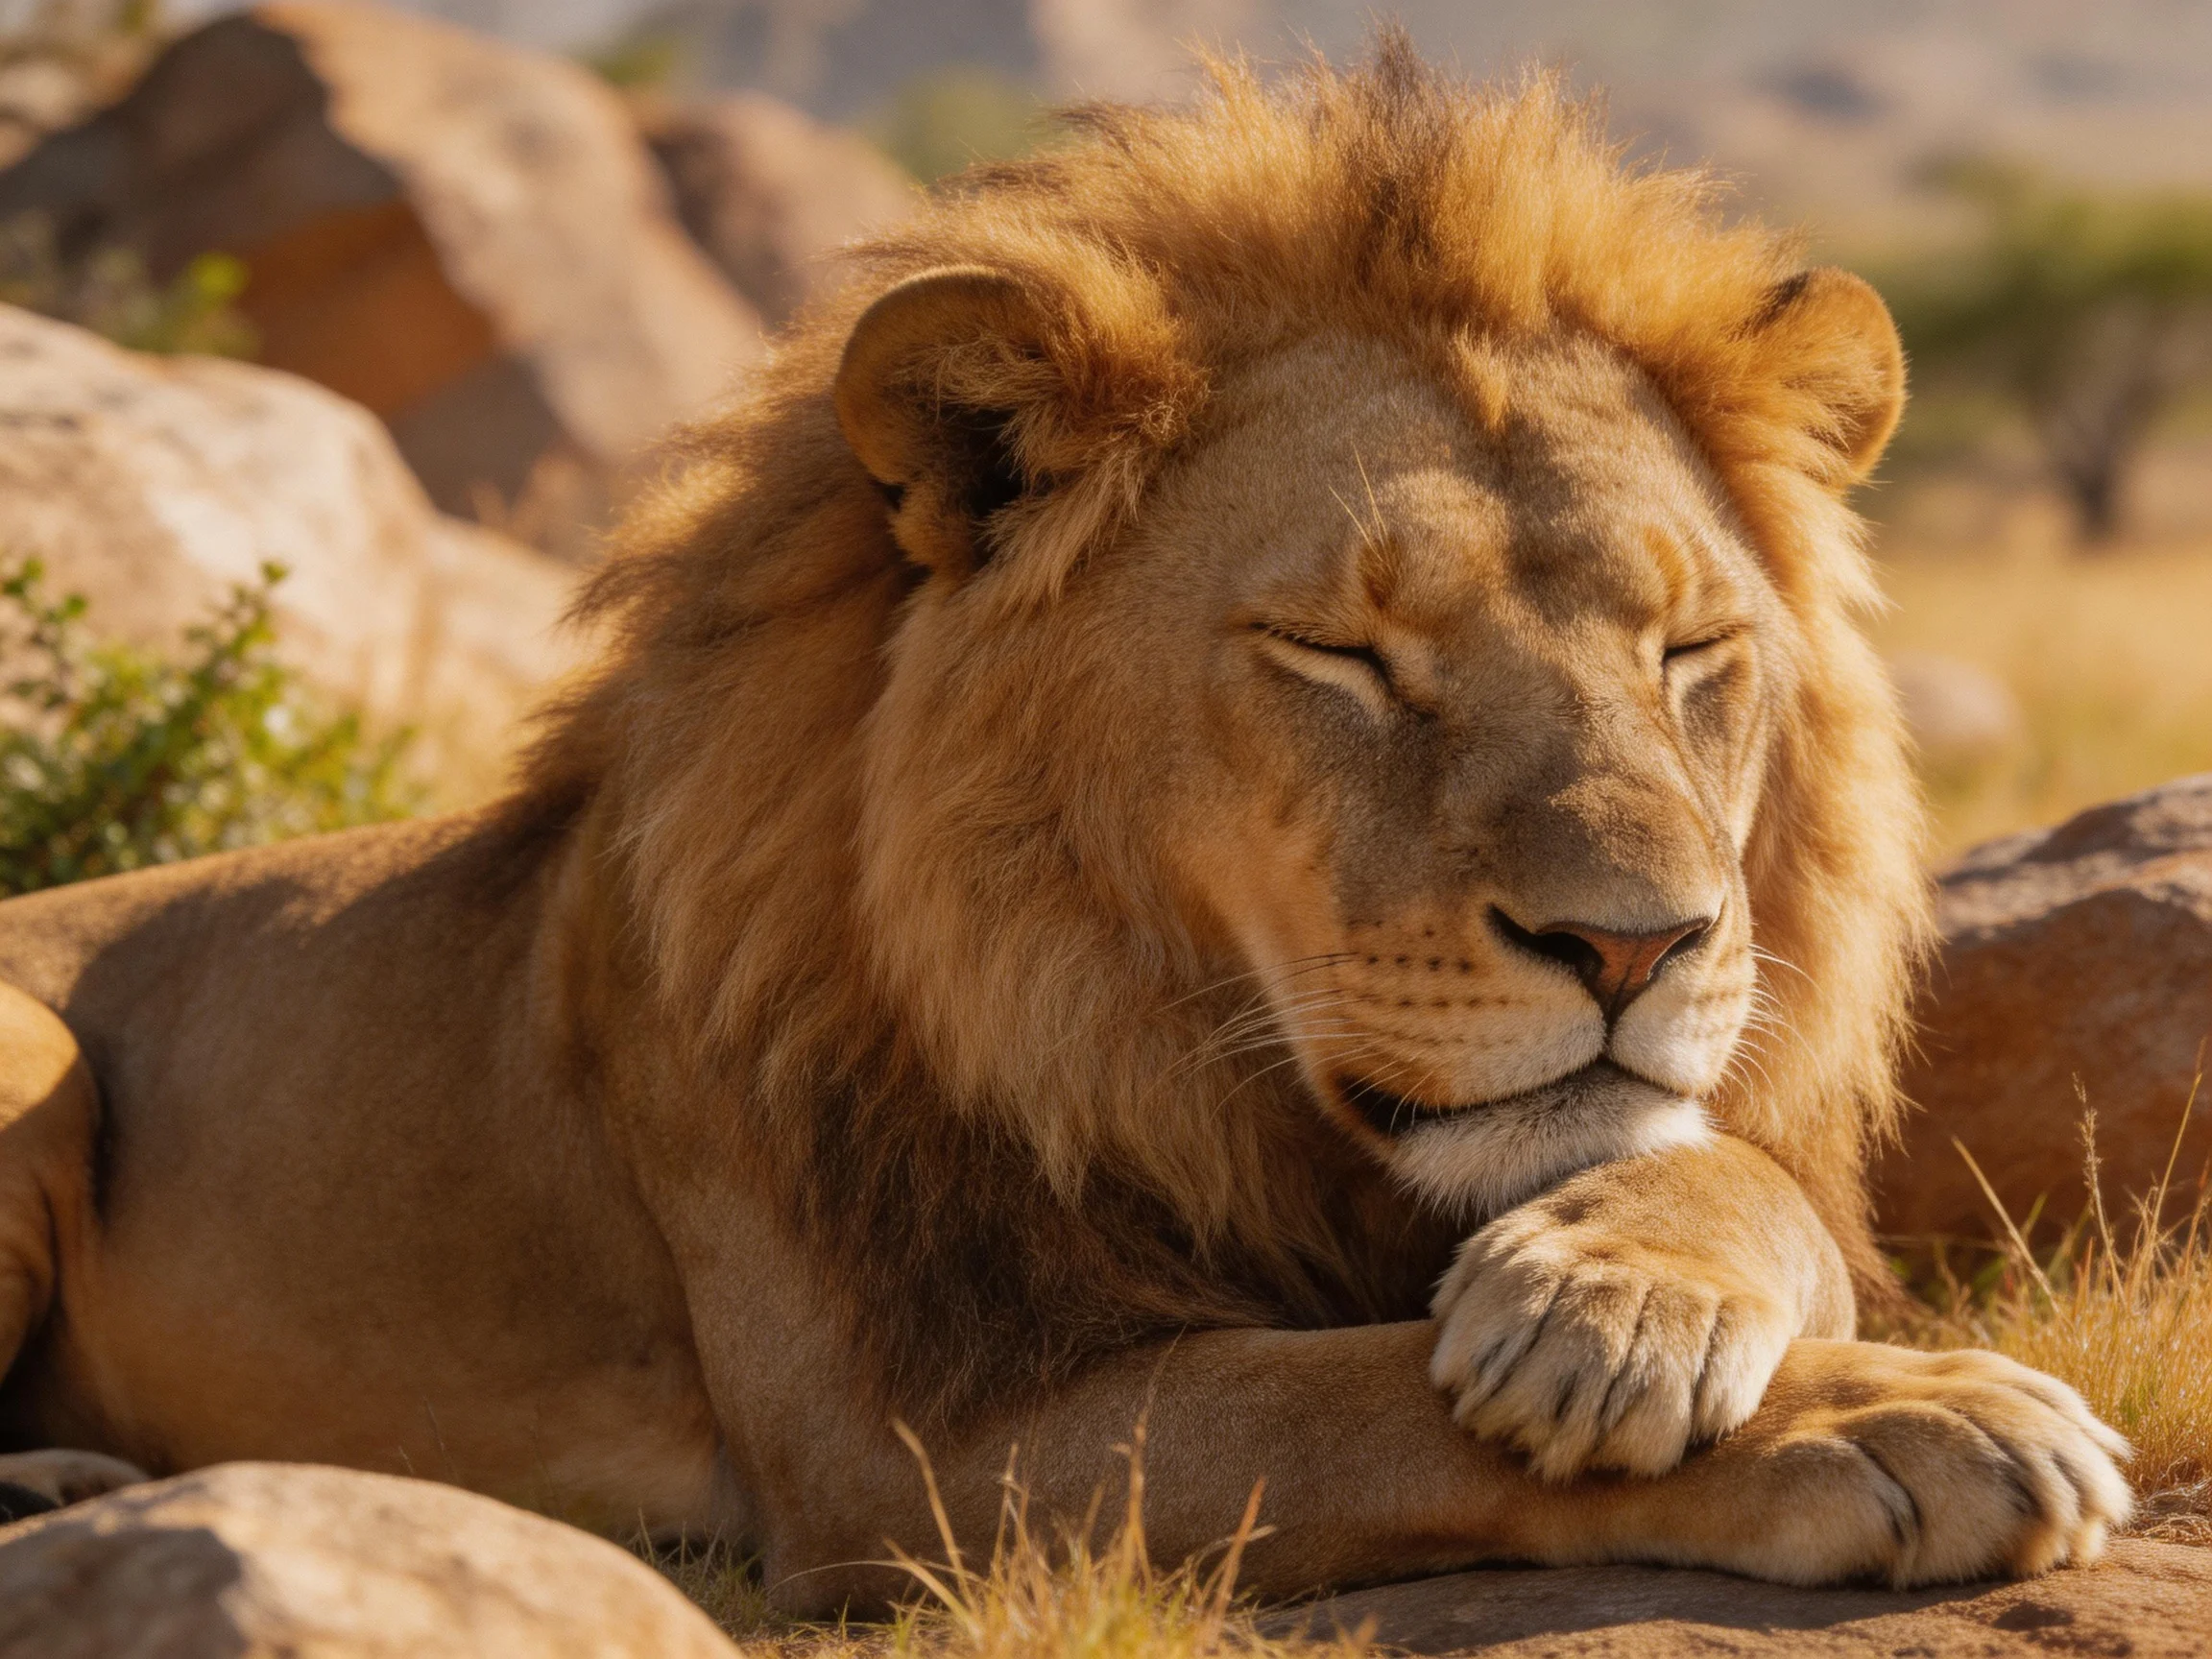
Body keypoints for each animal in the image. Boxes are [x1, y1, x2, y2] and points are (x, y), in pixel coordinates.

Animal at [0, 42, 2128, 1608]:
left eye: (1694, 648)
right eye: (1338, 651)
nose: (1636, 944)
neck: (1150, 1031)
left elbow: (1731, 1175)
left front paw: (1620, 1293)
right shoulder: (912, 1449)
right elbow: (1346, 1402)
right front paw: (1894, 1421)